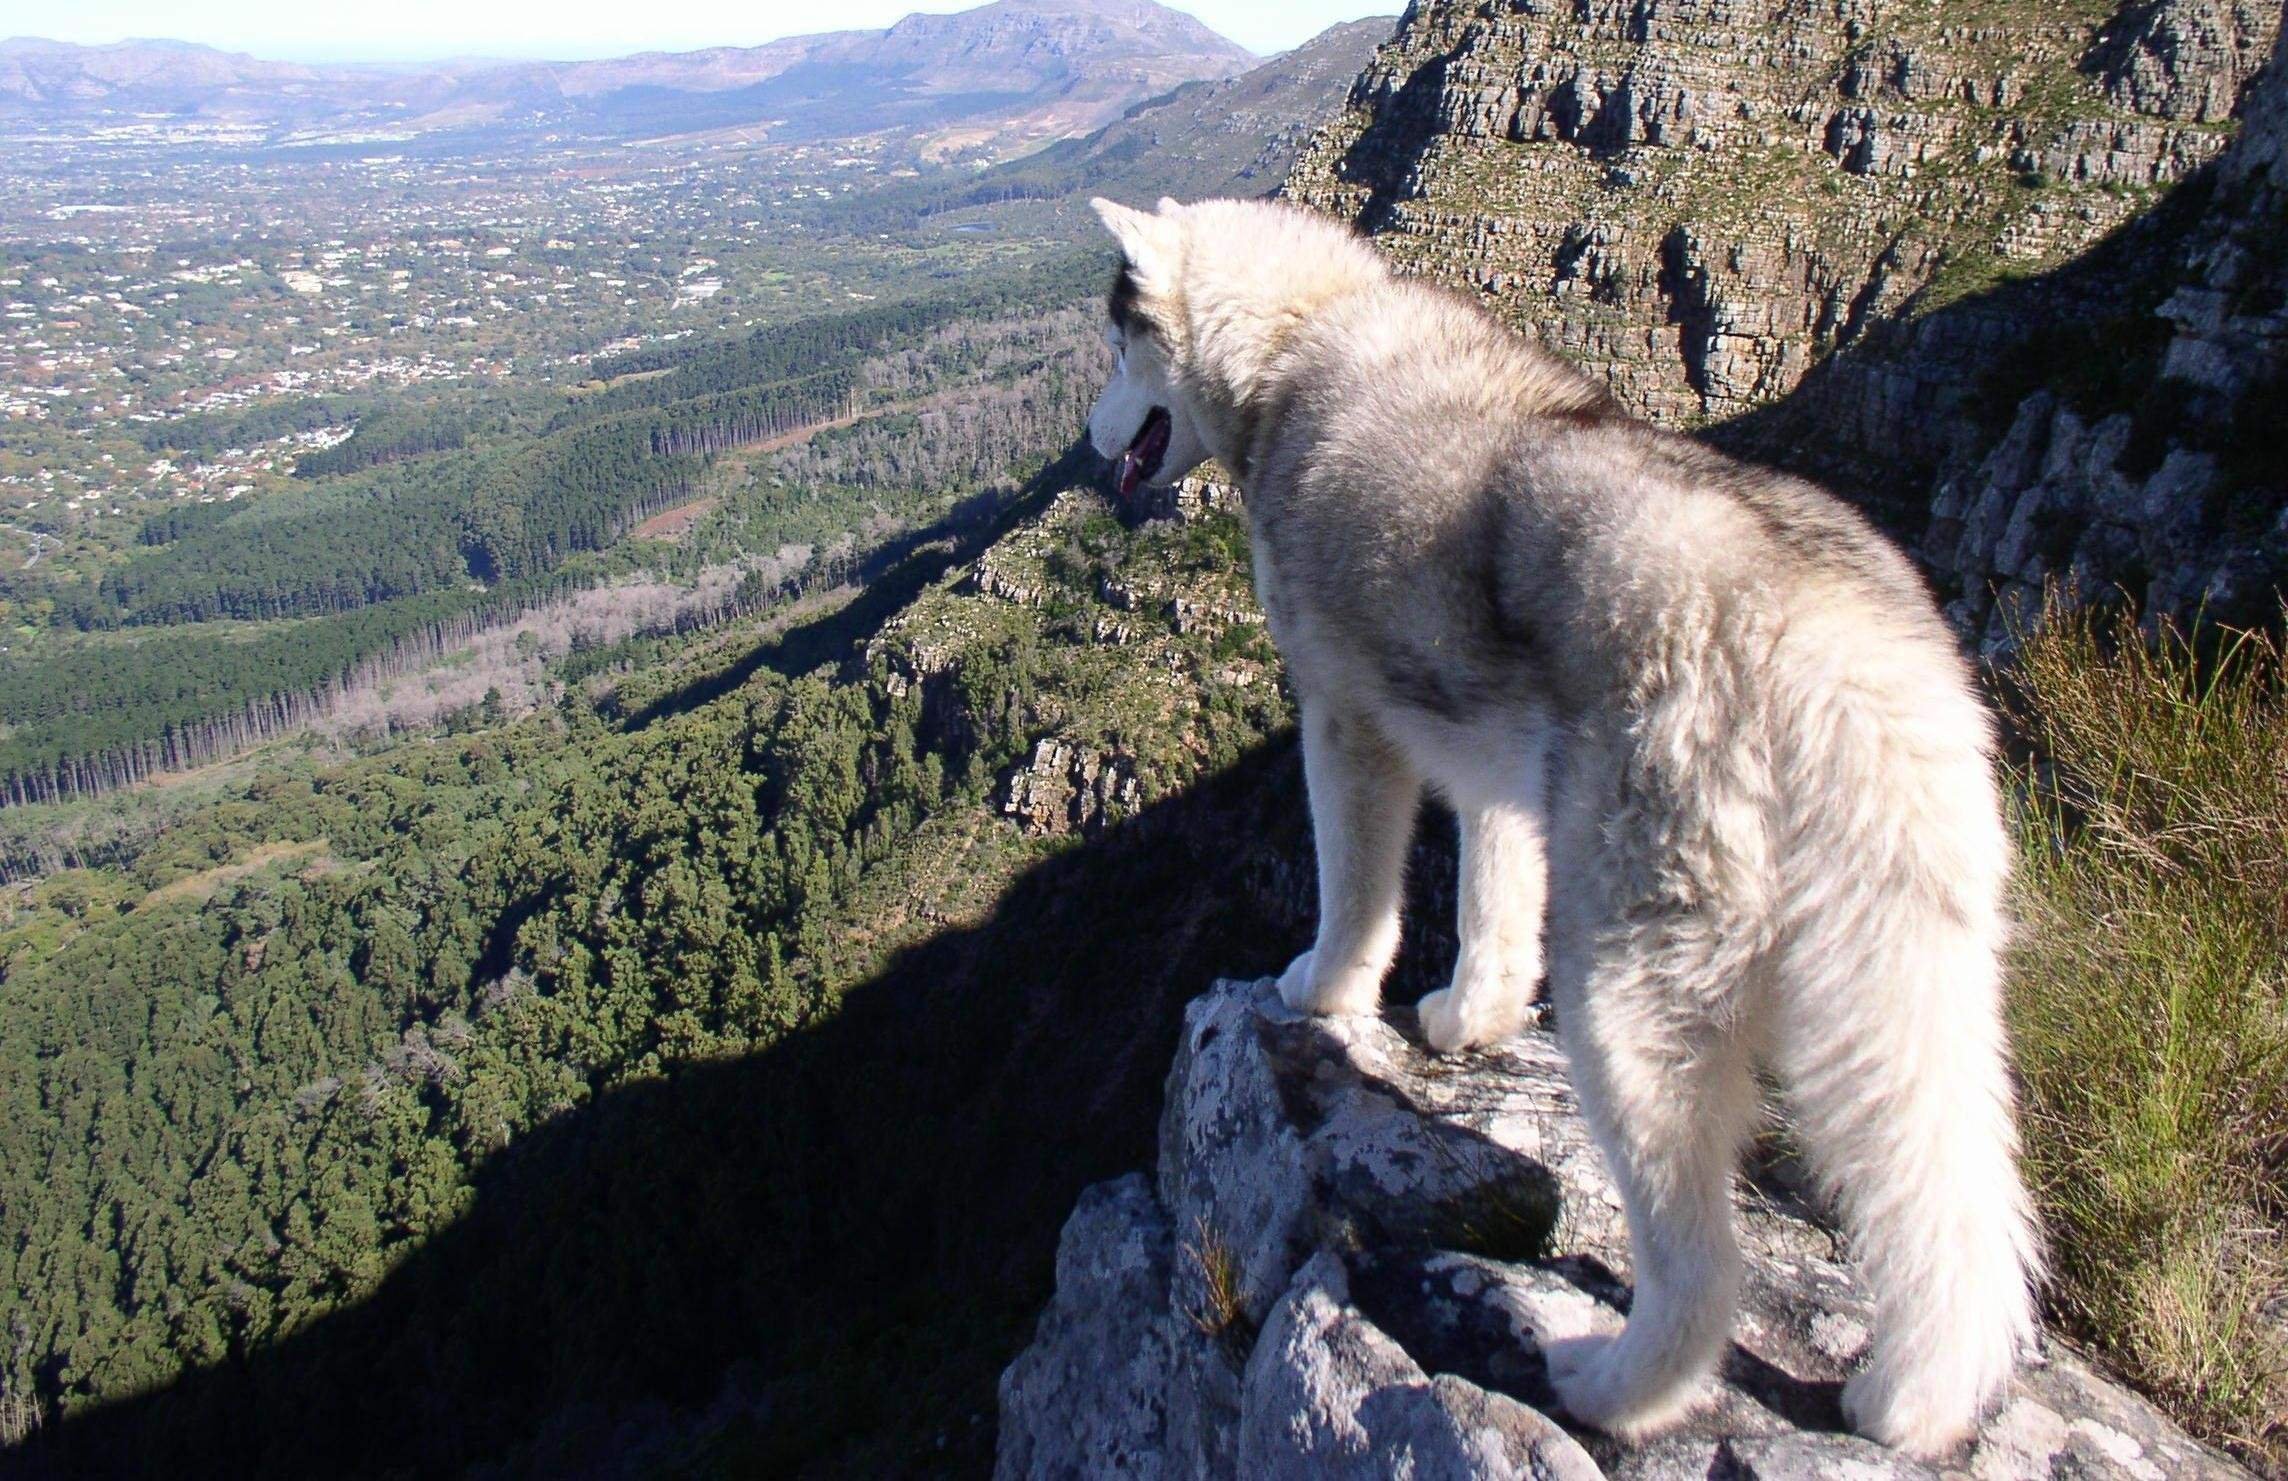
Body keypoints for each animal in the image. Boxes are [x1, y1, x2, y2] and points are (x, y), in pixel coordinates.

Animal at [1089, 196, 2040, 1455]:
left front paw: (1322, 989)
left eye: (1117, 345)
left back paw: (1616, 1384)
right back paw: (1917, 1393)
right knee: (1949, 1191)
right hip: (1920, 969)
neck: (1298, 339)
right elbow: (1493, 901)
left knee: (1698, 1260)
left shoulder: (1344, 718)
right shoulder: (1497, 765)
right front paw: (1469, 1016)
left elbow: (1355, 891)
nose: (1087, 442)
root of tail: (1834, 645)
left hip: (1631, 983)